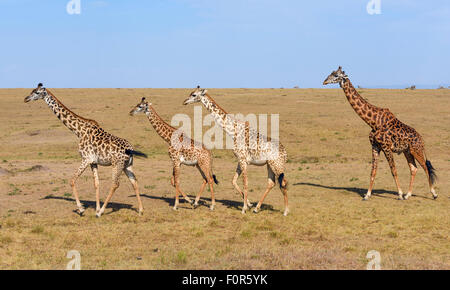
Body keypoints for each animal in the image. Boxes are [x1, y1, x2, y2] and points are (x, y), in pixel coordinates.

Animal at [24, 82, 148, 216]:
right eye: (32, 90)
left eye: (37, 92)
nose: (26, 99)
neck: (78, 130)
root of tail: (130, 150)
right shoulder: (93, 162)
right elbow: (96, 183)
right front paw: (96, 208)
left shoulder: (86, 159)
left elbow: (72, 180)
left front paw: (82, 209)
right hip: (127, 165)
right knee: (134, 181)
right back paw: (140, 210)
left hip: (117, 165)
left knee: (115, 184)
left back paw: (101, 212)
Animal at [182, 86, 288, 215]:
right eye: (190, 93)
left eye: (194, 95)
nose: (185, 101)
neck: (233, 132)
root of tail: (285, 153)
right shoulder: (240, 160)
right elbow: (233, 181)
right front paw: (249, 205)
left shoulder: (243, 159)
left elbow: (245, 183)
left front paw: (243, 209)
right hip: (270, 165)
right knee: (271, 183)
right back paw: (257, 208)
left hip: (277, 165)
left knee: (283, 182)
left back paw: (285, 211)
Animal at [322, 67, 438, 201]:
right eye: (331, 73)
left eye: (336, 75)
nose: (324, 81)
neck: (373, 122)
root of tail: (422, 140)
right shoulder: (375, 146)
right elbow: (373, 171)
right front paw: (367, 195)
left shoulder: (386, 146)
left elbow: (393, 170)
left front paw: (399, 194)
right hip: (407, 151)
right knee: (414, 168)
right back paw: (408, 194)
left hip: (416, 150)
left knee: (425, 167)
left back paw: (433, 194)